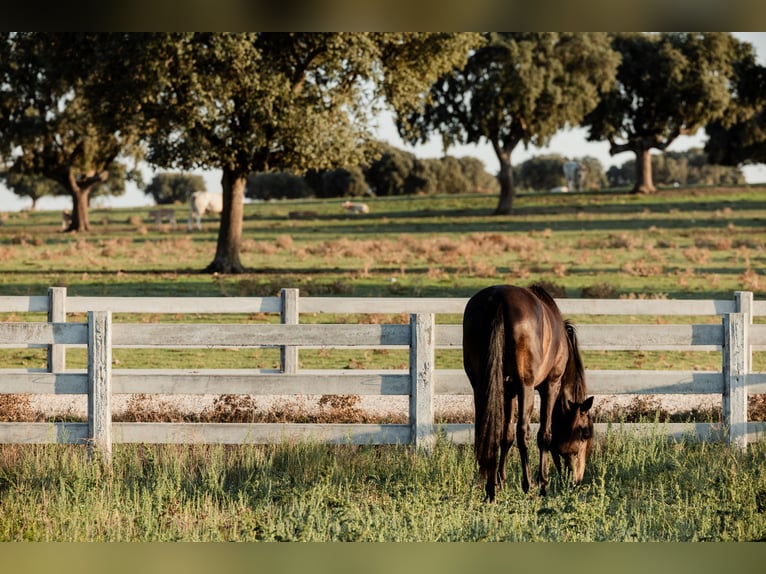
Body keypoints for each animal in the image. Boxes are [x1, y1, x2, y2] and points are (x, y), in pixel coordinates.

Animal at [464, 286, 596, 502]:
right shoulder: (550, 385)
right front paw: (543, 483)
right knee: (523, 431)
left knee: (487, 431)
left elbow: (506, 435)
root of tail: (497, 298)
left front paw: (501, 481)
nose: (577, 480)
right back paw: (528, 485)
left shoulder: (508, 391)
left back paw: (490, 489)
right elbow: (544, 434)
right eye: (584, 434)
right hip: (526, 386)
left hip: (481, 385)